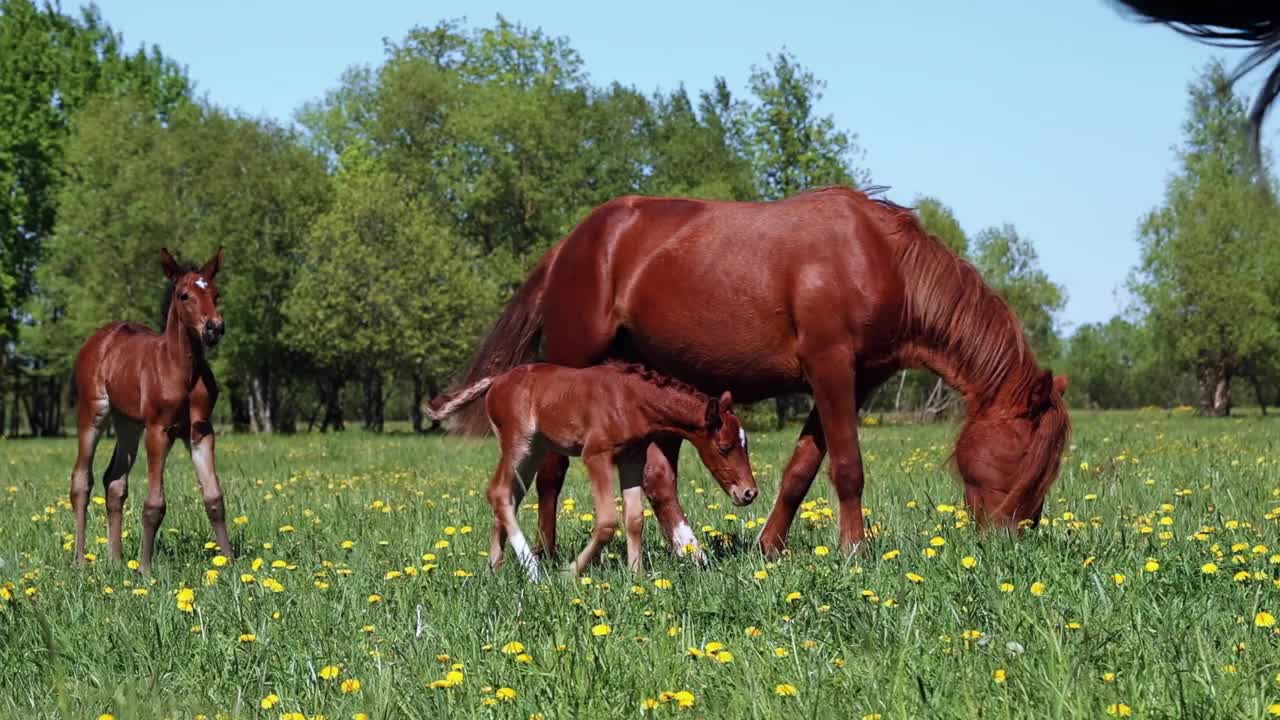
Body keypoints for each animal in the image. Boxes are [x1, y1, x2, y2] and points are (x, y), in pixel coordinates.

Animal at [70, 245, 231, 571]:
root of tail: (99, 338)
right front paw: (145, 569)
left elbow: (214, 498)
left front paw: (231, 563)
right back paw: (80, 561)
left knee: (114, 481)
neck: (182, 368)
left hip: (128, 423)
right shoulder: (158, 429)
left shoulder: (201, 431)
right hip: (93, 414)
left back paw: (116, 561)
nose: (214, 328)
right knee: (81, 480)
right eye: (184, 295)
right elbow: (154, 504)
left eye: (216, 293)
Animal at [427, 361, 757, 579]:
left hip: (534, 450)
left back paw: (494, 568)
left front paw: (636, 578)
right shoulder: (595, 456)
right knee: (498, 492)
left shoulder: (632, 458)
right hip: (518, 444)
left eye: (745, 443)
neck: (630, 399)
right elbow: (608, 521)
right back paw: (532, 570)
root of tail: (497, 380)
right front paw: (570, 572)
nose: (749, 493)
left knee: (509, 496)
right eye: (725, 447)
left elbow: (634, 518)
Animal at [445, 185, 1064, 556]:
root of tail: (568, 247)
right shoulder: (830, 368)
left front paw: (770, 546)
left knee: (657, 477)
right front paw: (855, 551)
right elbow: (847, 467)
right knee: (550, 471)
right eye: (1027, 458)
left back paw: (683, 552)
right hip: (571, 368)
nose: (1013, 541)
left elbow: (802, 469)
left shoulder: (854, 381)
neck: (877, 258)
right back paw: (548, 556)